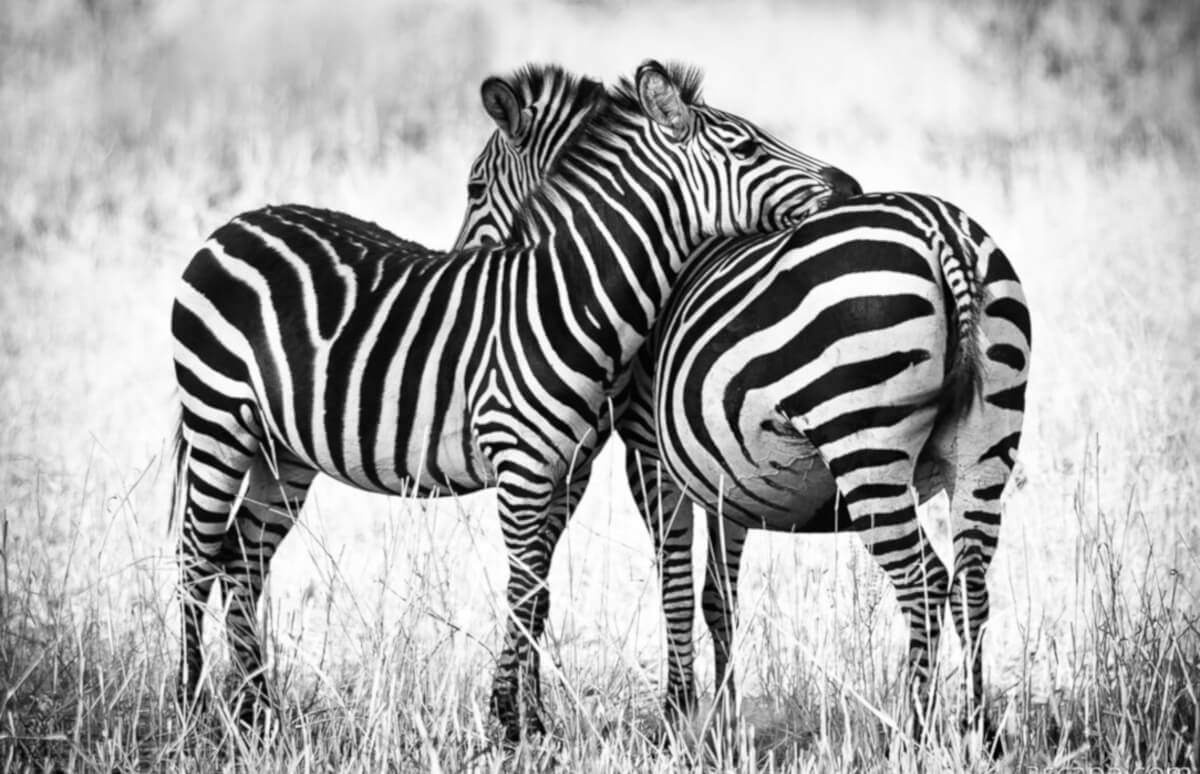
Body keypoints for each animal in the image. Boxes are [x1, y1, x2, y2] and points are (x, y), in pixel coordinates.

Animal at [168, 60, 856, 742]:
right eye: (747, 149)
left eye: (476, 188)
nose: (849, 184)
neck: (566, 299)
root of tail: (237, 222)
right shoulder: (541, 462)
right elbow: (531, 591)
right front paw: (511, 721)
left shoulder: (566, 468)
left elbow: (541, 591)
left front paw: (535, 721)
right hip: (217, 423)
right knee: (195, 556)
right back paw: (191, 707)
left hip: (281, 451)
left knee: (241, 559)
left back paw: (256, 713)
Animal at [457, 86, 1027, 745]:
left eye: (474, 187)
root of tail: (940, 230)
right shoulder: (732, 467)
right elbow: (717, 597)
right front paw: (723, 723)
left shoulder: (649, 454)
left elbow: (675, 586)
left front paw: (677, 715)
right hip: (986, 444)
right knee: (972, 585)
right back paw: (979, 729)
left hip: (865, 445)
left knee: (925, 582)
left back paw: (914, 732)